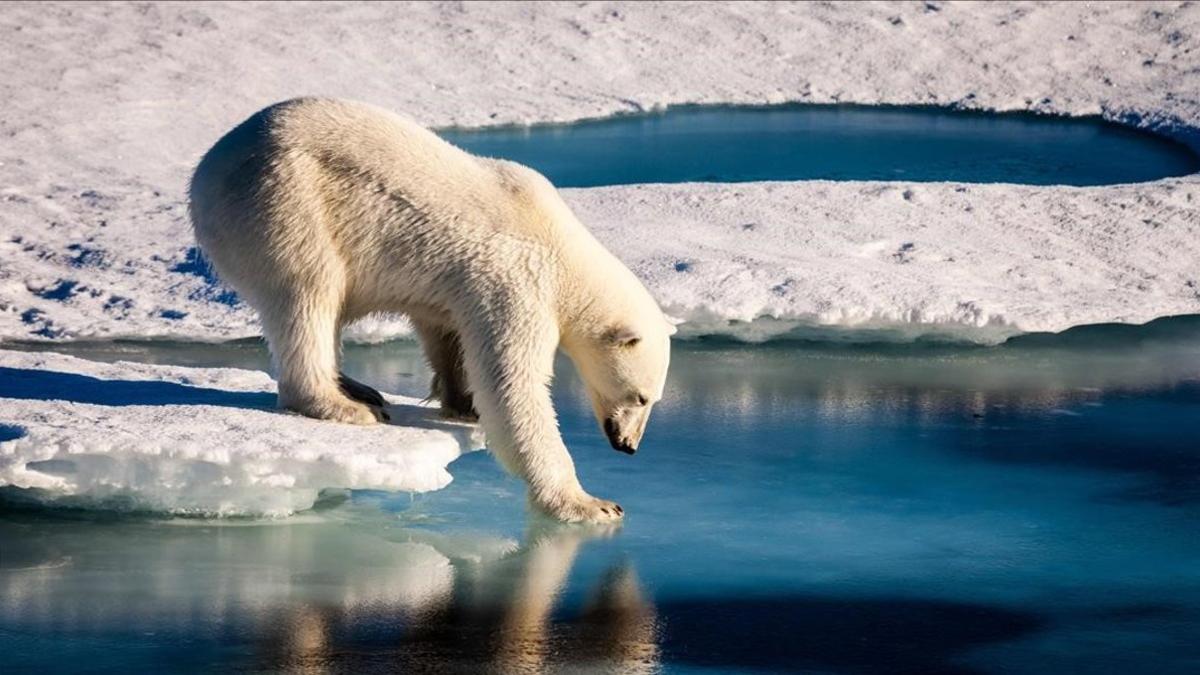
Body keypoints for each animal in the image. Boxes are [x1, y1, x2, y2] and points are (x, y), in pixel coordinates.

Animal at [189, 98, 676, 521]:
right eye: (641, 396)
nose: (628, 445)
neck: (562, 248)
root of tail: (206, 170)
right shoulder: (517, 281)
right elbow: (513, 386)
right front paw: (591, 504)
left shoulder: (459, 287)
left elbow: (446, 332)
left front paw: (463, 402)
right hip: (285, 201)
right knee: (308, 293)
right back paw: (344, 405)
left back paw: (358, 388)